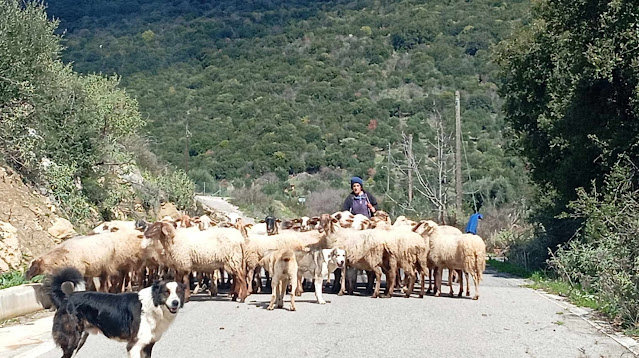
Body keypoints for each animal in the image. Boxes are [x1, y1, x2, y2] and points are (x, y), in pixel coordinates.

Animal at [45, 268, 184, 356]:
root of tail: (66, 298)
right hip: (72, 340)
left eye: (179, 292)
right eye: (166, 292)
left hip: (80, 340)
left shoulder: (147, 345)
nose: (175, 303)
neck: (153, 306)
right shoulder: (133, 346)